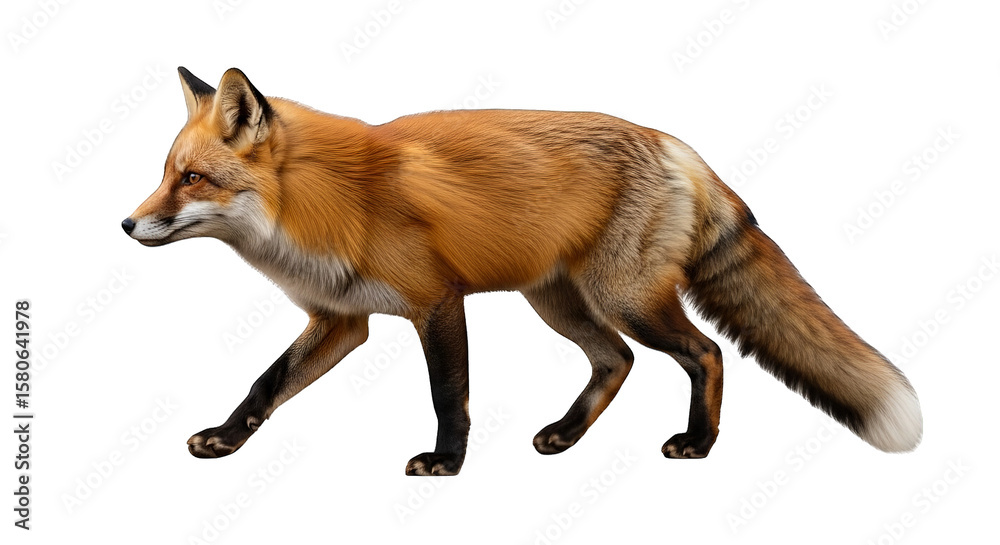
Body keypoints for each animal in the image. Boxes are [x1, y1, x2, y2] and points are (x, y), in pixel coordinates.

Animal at [123, 67, 922, 475]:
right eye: (164, 175)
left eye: (192, 179)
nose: (126, 225)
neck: (330, 201)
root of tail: (675, 144)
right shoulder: (342, 319)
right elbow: (266, 384)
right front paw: (225, 440)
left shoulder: (436, 301)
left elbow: (450, 394)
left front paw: (446, 463)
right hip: (559, 302)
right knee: (617, 361)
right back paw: (566, 436)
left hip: (624, 298)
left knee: (706, 352)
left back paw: (698, 443)